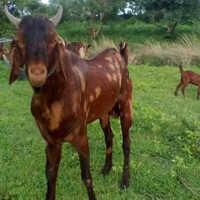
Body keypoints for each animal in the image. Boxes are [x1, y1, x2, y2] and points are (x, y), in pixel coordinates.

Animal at [5, 5, 132, 200]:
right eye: (19, 41)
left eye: (53, 41)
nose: (37, 73)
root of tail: (120, 55)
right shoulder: (51, 141)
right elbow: (50, 175)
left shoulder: (81, 135)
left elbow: (86, 176)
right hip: (103, 112)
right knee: (109, 136)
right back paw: (106, 168)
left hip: (126, 105)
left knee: (126, 143)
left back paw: (125, 181)